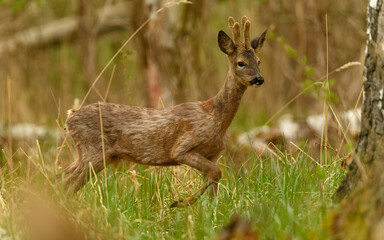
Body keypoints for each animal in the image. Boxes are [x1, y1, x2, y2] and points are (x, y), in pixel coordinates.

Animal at [63, 16, 268, 208]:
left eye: (258, 61)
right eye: (241, 63)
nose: (259, 79)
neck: (216, 117)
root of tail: (70, 117)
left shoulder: (213, 153)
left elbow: (214, 184)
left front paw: (206, 209)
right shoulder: (181, 149)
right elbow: (217, 172)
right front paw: (179, 202)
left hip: (87, 154)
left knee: (62, 175)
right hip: (93, 152)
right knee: (67, 183)